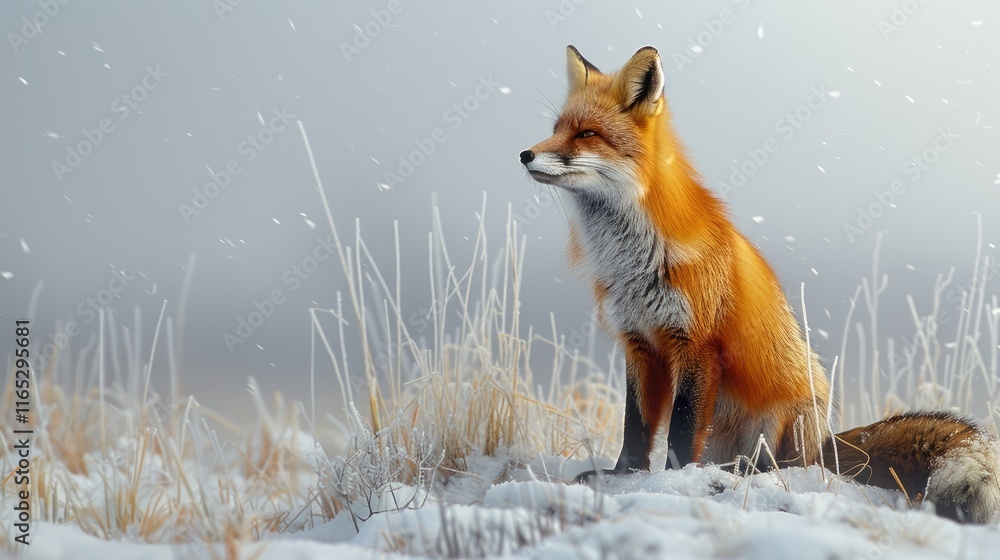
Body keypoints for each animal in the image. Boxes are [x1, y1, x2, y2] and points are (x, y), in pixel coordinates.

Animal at [519, 45, 1000, 523]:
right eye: (556, 130)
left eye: (587, 134)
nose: (524, 154)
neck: (633, 259)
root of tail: (826, 445)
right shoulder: (639, 343)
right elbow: (635, 427)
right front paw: (623, 476)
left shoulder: (697, 345)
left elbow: (680, 432)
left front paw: (674, 483)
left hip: (784, 416)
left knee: (777, 469)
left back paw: (748, 477)